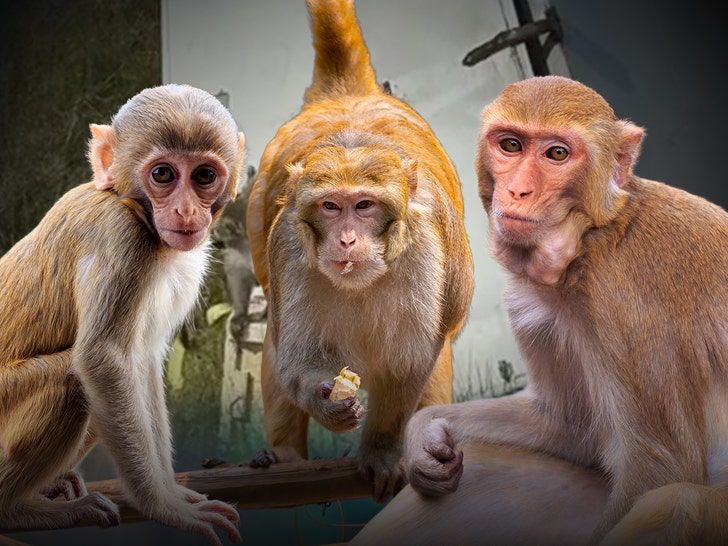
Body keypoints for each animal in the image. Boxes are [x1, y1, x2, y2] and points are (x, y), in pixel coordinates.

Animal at [0, 84, 247, 546]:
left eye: (204, 176)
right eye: (163, 175)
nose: (187, 212)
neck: (129, 206)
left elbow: (142, 361)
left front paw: (170, 492)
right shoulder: (120, 238)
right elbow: (103, 360)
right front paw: (165, 507)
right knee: (71, 380)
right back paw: (14, 510)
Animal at [246, 0, 474, 502]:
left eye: (364, 206)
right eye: (331, 206)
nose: (347, 239)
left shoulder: (427, 248)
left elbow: (409, 368)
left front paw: (382, 451)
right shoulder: (289, 245)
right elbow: (296, 359)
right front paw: (325, 403)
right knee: (273, 342)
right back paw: (283, 456)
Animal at [402, 75, 728, 543]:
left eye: (557, 154)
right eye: (511, 145)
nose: (518, 190)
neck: (591, 239)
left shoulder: (623, 300)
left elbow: (660, 467)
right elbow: (569, 430)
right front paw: (424, 430)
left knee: (675, 502)